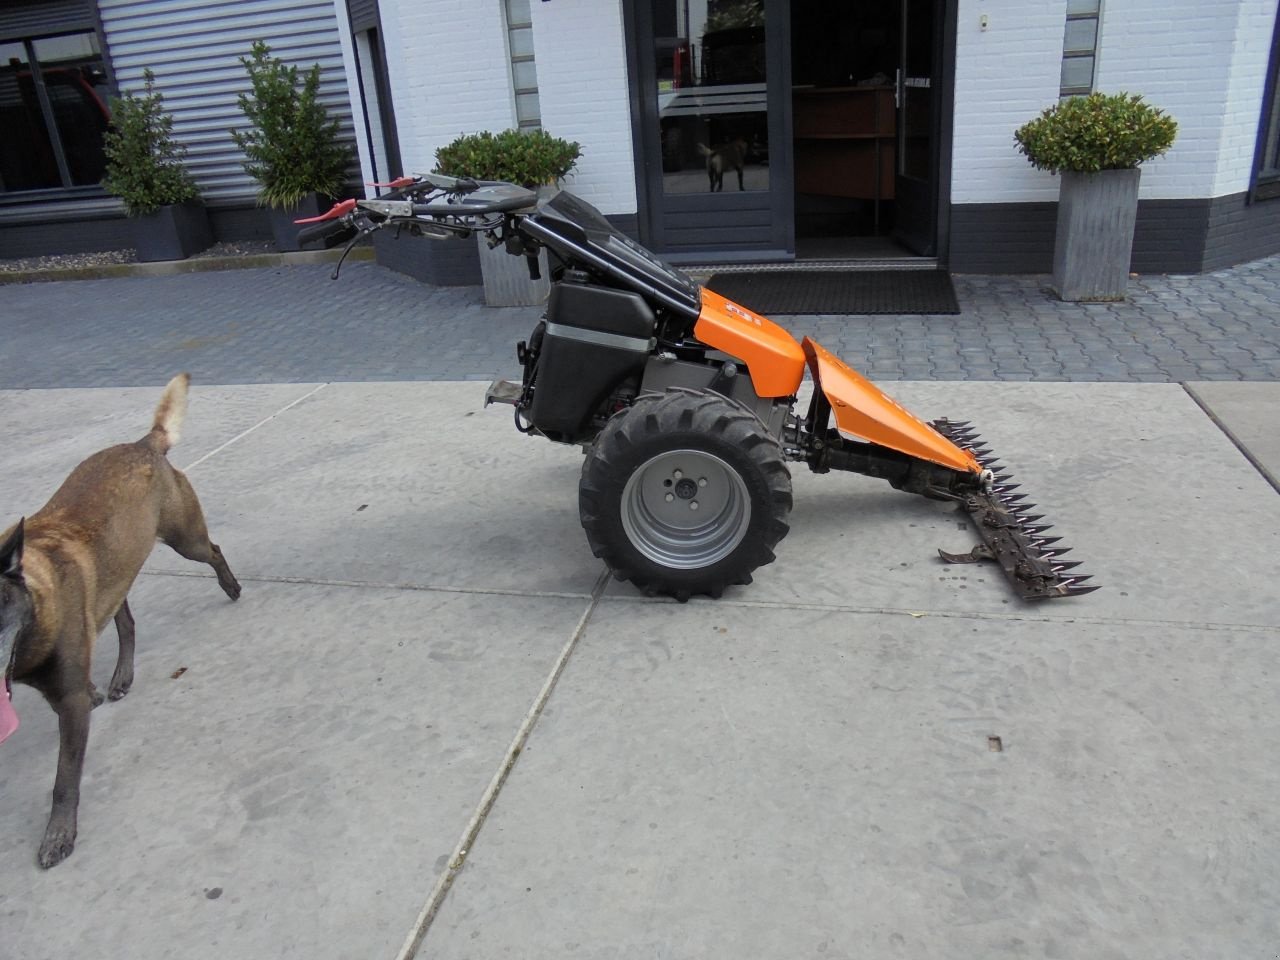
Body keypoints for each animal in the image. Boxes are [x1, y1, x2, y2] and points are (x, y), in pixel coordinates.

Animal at [0, 376, 240, 870]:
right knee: (125, 623)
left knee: (214, 550)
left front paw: (58, 835)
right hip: (118, 573)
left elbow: (64, 780)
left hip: (185, 538)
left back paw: (230, 585)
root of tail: (144, 444)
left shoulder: (68, 704)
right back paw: (121, 676)